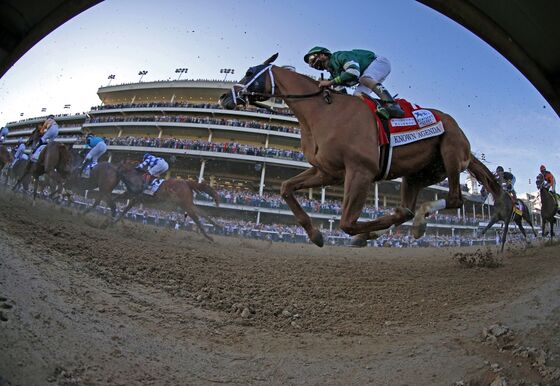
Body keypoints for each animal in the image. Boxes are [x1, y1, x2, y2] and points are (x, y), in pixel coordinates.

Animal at [221, 53, 488, 247]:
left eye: (250, 72)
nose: (224, 97)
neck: (323, 110)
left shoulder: (360, 171)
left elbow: (347, 223)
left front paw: (362, 233)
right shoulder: (328, 172)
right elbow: (286, 188)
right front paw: (316, 235)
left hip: (451, 152)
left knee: (453, 198)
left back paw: (414, 222)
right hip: (416, 175)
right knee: (410, 209)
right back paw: (409, 222)